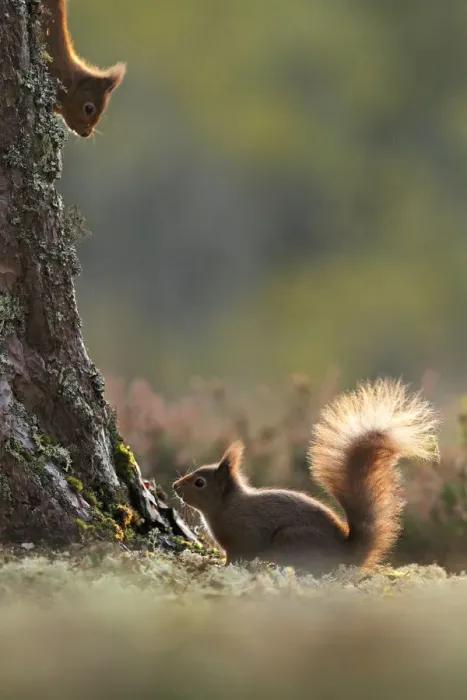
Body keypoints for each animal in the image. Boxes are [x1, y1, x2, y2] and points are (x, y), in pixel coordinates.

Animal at [173, 379, 439, 575]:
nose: (175, 486)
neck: (227, 506)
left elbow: (237, 557)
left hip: (291, 539)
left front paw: (221, 568)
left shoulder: (244, 538)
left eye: (199, 483)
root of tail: (344, 555)